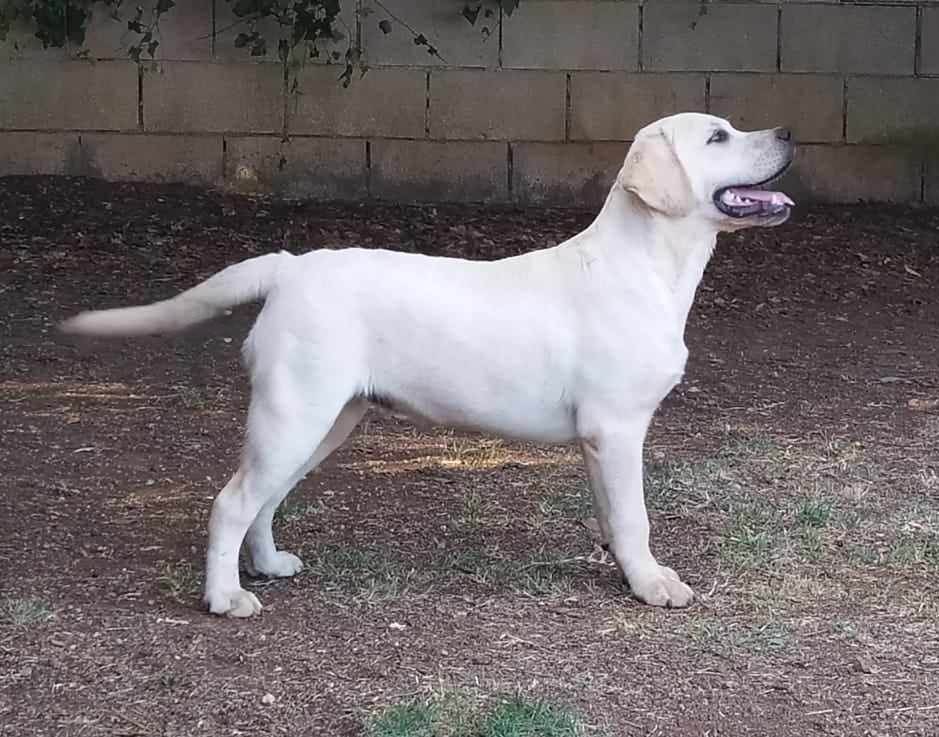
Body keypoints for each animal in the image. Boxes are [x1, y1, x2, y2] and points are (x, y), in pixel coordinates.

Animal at [60, 113, 792, 616]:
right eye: (718, 137)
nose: (788, 133)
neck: (646, 263)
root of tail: (291, 266)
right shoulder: (615, 429)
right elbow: (634, 516)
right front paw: (651, 584)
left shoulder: (600, 440)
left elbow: (613, 517)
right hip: (294, 414)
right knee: (231, 501)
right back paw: (224, 597)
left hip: (325, 420)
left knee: (264, 499)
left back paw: (266, 565)